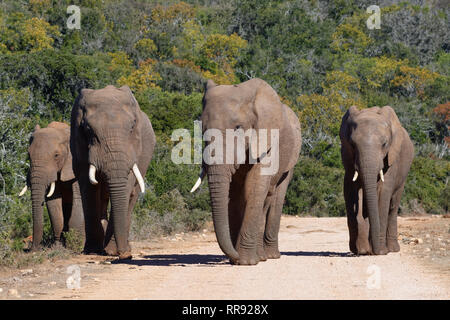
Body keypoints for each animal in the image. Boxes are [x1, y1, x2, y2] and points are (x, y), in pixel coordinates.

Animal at [19, 121, 85, 249]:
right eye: (28, 155)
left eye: (56, 155)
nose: (32, 249)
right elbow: (53, 204)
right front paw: (57, 247)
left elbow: (79, 200)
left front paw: (77, 246)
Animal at [70, 85, 155, 260]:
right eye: (88, 130)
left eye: (132, 127)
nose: (126, 255)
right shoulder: (78, 146)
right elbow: (88, 188)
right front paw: (92, 250)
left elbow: (127, 186)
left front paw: (112, 251)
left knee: (132, 196)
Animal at [190, 79, 302, 264]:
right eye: (203, 129)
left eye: (238, 127)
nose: (232, 256)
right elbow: (235, 193)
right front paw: (239, 260)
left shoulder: (266, 140)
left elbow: (253, 188)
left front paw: (244, 261)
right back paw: (261, 256)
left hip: (292, 157)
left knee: (275, 197)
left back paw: (270, 256)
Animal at [340, 106, 414, 256]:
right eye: (352, 144)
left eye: (384, 144)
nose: (373, 250)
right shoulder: (348, 158)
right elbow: (351, 192)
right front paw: (361, 250)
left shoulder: (392, 158)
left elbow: (382, 193)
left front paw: (380, 251)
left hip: (403, 174)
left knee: (393, 206)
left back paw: (392, 249)